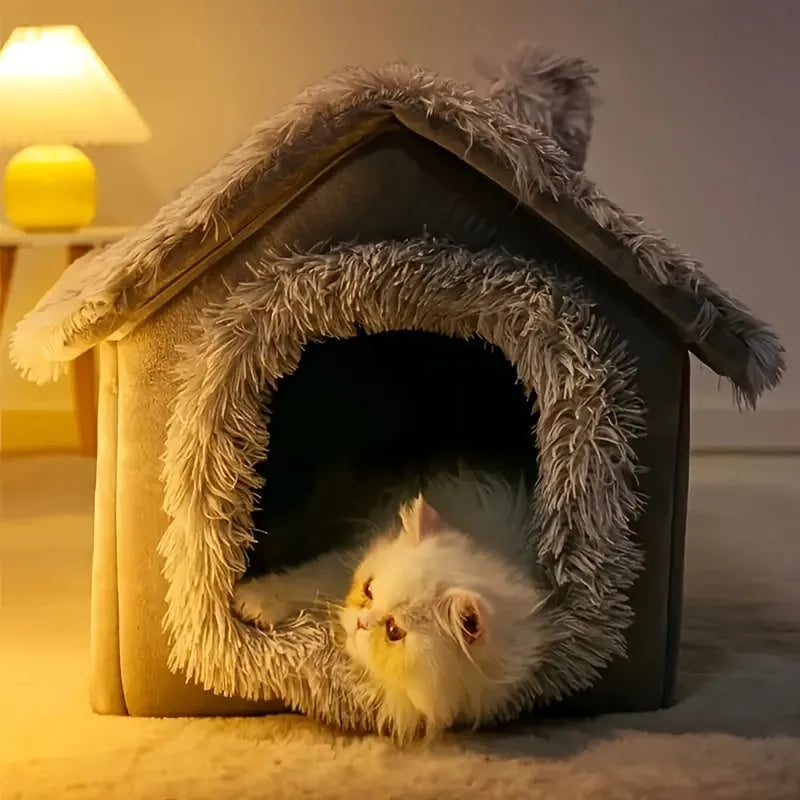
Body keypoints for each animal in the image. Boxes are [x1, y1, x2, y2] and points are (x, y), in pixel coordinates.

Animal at [231, 468, 552, 744]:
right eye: (368, 590)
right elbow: (304, 582)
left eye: (393, 631)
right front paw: (250, 600)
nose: (360, 622)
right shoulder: (335, 566)